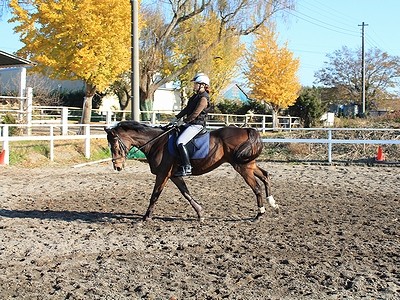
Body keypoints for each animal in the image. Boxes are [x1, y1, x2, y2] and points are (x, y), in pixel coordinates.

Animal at [104, 120, 278, 221]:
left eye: (114, 144)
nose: (117, 167)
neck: (157, 143)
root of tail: (247, 130)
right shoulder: (174, 175)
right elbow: (186, 193)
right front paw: (200, 213)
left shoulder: (163, 174)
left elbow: (155, 195)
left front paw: (146, 217)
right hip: (249, 164)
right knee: (265, 176)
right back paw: (272, 203)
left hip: (243, 167)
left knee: (256, 187)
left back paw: (259, 214)